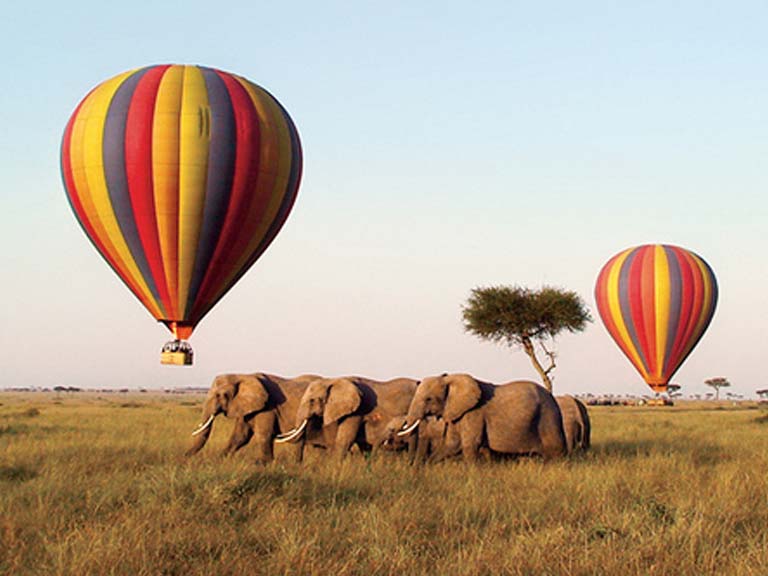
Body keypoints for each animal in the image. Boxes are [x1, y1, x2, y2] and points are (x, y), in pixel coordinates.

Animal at [188, 374, 322, 464]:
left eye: (219, 395)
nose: (185, 457)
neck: (242, 376)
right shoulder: (246, 408)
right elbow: (240, 437)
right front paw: (220, 460)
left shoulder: (267, 407)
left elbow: (264, 435)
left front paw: (267, 466)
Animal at [400, 374, 568, 464]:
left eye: (428, 399)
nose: (411, 466)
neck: (452, 378)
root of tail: (553, 398)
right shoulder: (457, 413)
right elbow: (451, 444)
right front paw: (428, 466)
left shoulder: (474, 413)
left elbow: (469, 445)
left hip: (548, 417)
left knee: (555, 453)